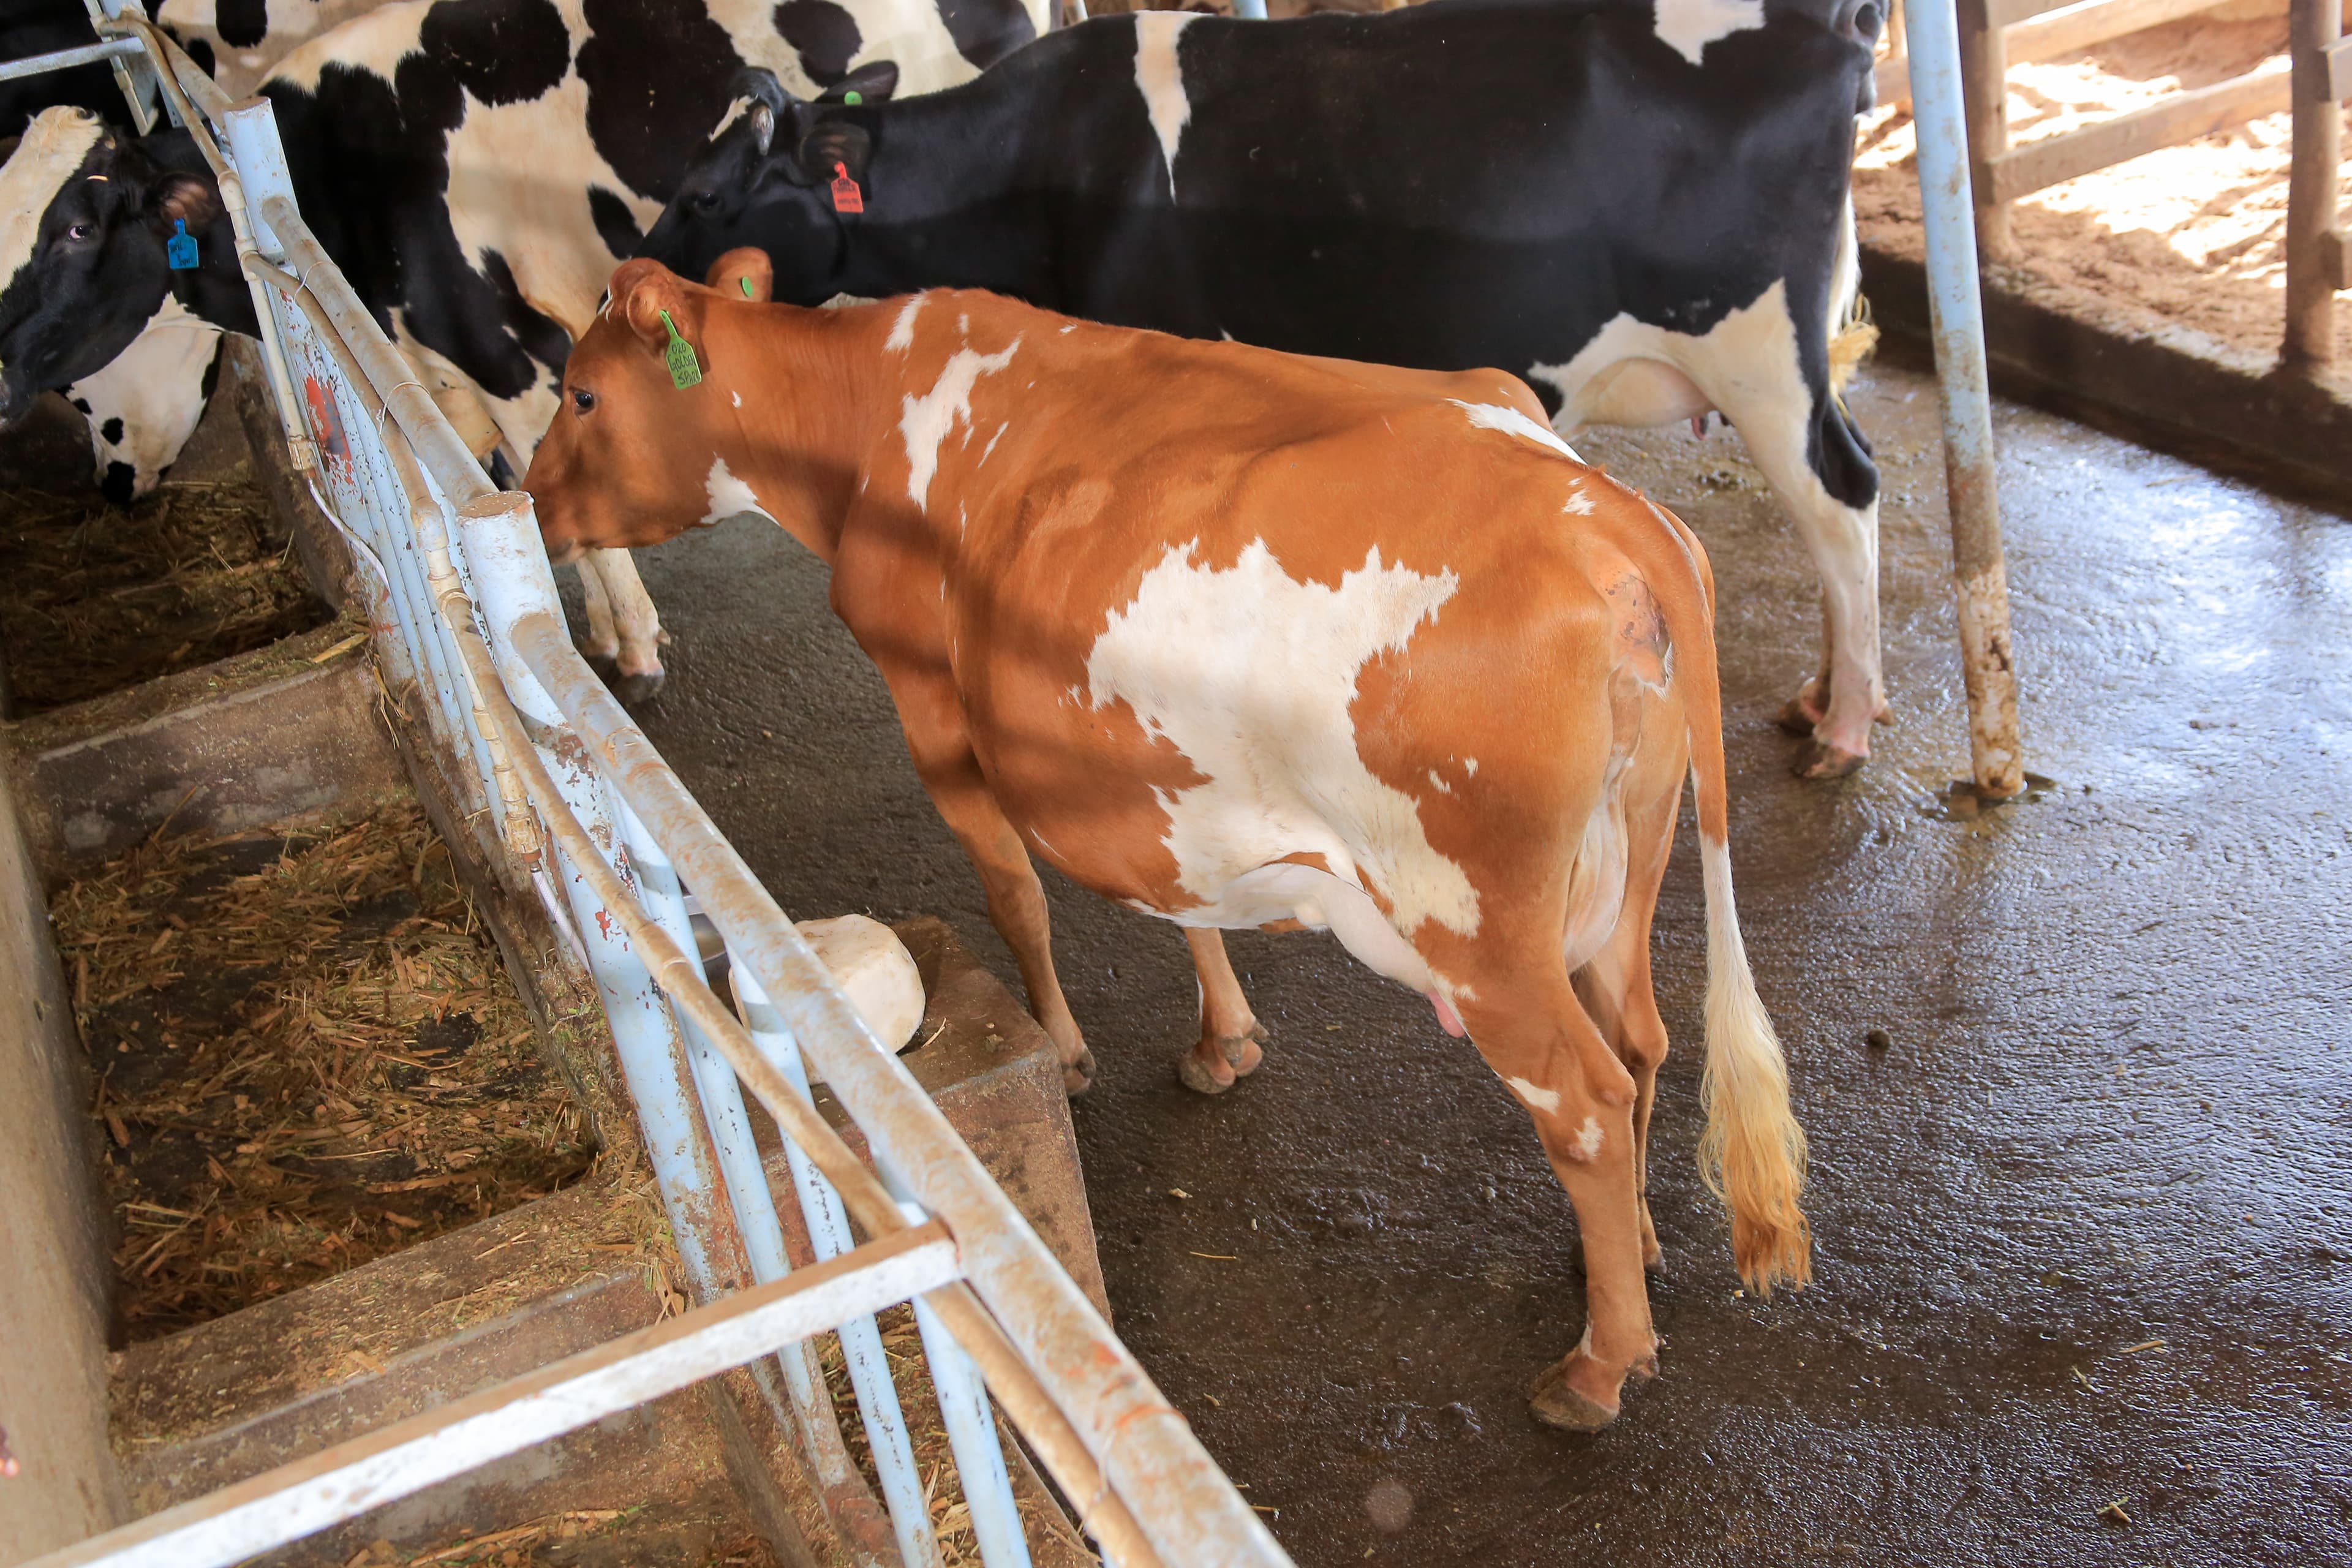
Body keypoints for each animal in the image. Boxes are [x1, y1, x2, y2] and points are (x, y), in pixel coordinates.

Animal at [521, 251, 1813, 1429]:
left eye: (579, 393)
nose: (527, 493)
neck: (874, 415)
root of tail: (1606, 513)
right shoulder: (1147, 773)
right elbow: (1180, 898)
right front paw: (1222, 1038)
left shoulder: (935, 719)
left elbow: (1015, 895)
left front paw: (1062, 1049)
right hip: (1628, 859)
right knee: (1640, 1042)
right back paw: (1624, 1256)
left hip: (1475, 930)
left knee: (1584, 1104)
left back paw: (1598, 1366)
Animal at [637, 0, 1893, 777]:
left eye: (702, 195)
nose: (623, 285)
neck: (1044, 160)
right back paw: (1825, 695)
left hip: (1761, 355)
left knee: (1843, 500)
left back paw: (1843, 729)